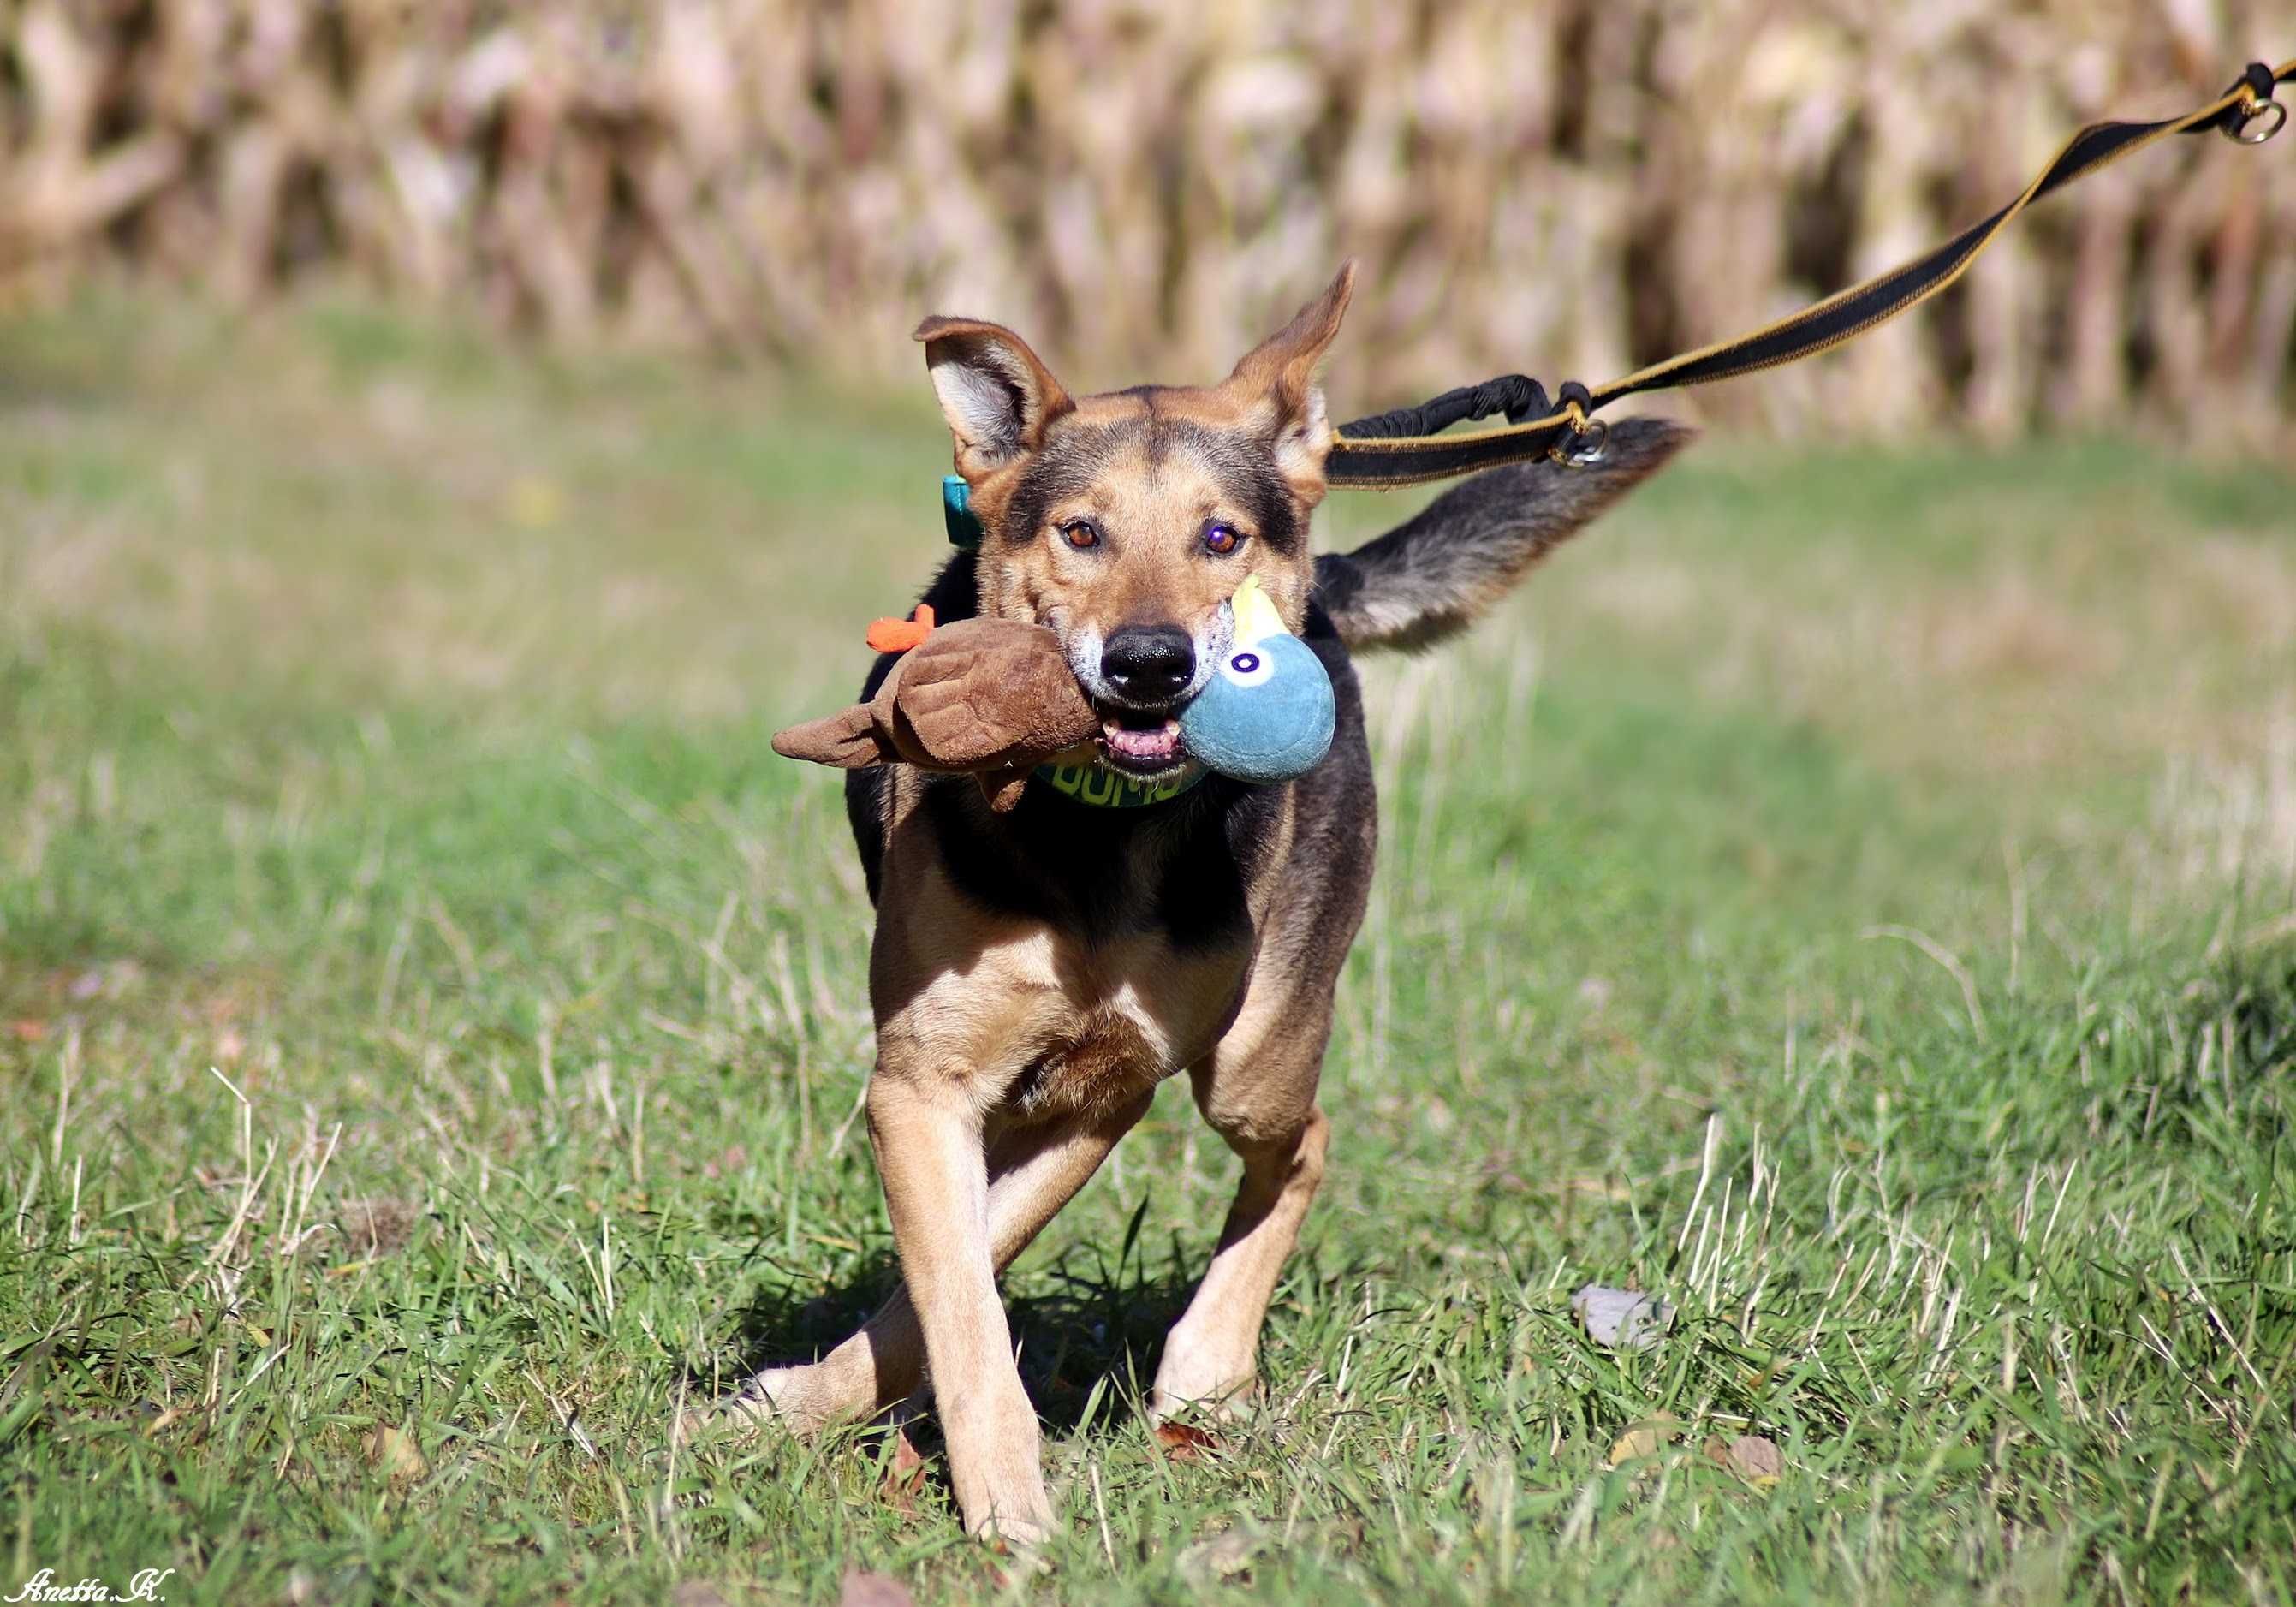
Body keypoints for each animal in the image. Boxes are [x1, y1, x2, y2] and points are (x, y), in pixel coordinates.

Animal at [707, 266, 1698, 1542]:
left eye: (1218, 537)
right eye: (1080, 532)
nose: (1149, 664)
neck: (1099, 826)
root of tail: (1323, 593)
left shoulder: (1108, 1087)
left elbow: (967, 1268)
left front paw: (980, 1486)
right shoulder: (924, 1083)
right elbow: (957, 1291)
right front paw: (916, 1453)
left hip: (1257, 1048)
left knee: (1305, 1141)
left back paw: (1208, 1362)